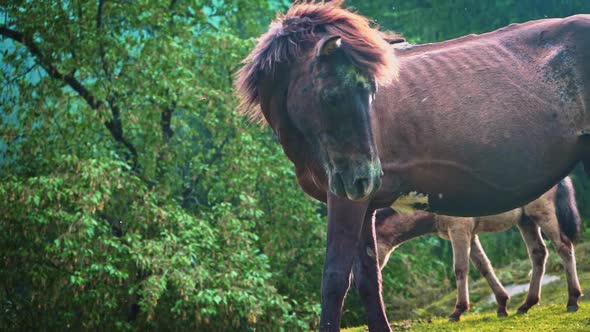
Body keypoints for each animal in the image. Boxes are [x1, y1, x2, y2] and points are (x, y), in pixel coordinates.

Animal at [374, 179, 584, 322]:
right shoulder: (471, 235)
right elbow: (484, 266)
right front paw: (502, 305)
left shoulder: (460, 231)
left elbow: (460, 268)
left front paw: (457, 311)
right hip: (526, 221)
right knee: (538, 253)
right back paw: (526, 304)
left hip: (543, 214)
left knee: (564, 247)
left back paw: (572, 300)